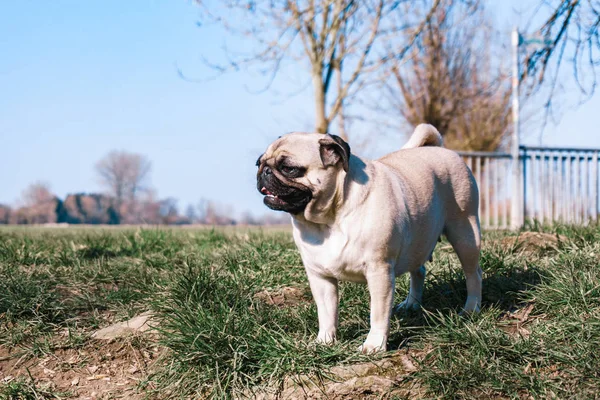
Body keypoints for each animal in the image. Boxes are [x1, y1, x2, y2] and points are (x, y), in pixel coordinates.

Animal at [255, 125, 480, 354]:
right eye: (259, 162)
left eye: (289, 168)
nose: (263, 172)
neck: (329, 220)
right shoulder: (320, 276)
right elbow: (326, 312)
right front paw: (325, 341)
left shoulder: (379, 271)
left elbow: (378, 313)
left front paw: (374, 345)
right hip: (418, 241)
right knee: (419, 270)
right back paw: (411, 304)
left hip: (465, 232)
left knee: (473, 274)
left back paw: (471, 309)